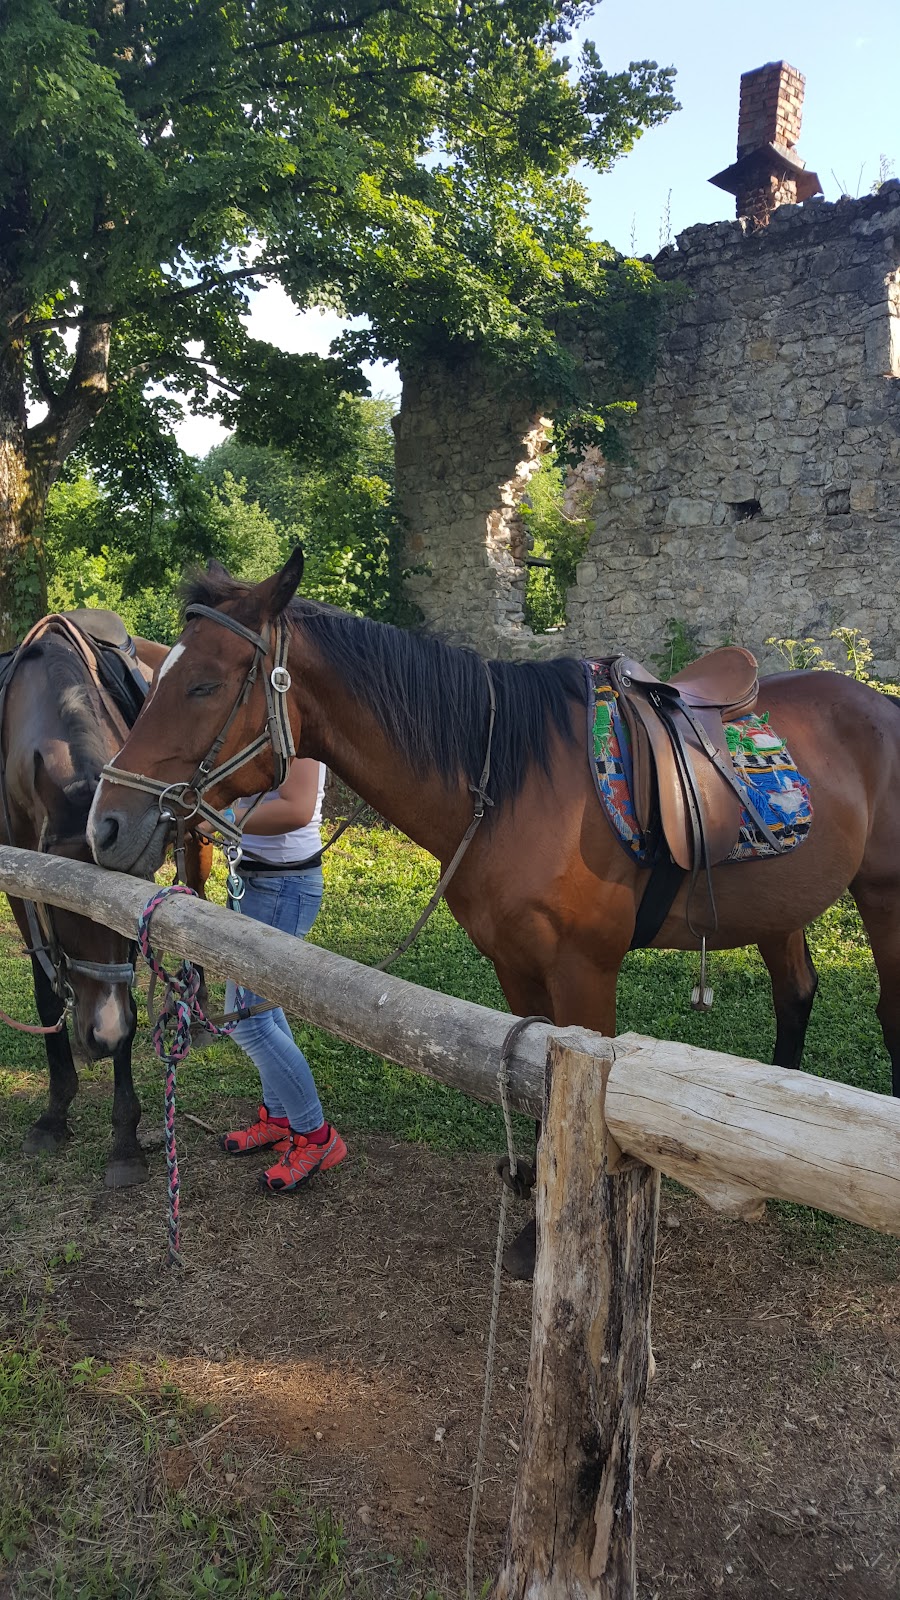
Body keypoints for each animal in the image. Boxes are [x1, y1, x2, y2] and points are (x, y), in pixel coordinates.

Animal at [0, 615, 211, 1187]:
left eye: (121, 905)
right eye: (59, 906)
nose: (104, 1033)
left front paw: (124, 1140)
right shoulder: (18, 885)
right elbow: (47, 991)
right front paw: (54, 1113)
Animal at [87, 551, 900, 1243]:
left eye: (203, 684)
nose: (105, 825)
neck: (509, 782)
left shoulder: (585, 976)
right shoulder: (514, 969)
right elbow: (531, 1094)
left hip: (882, 896)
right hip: (780, 906)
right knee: (796, 994)